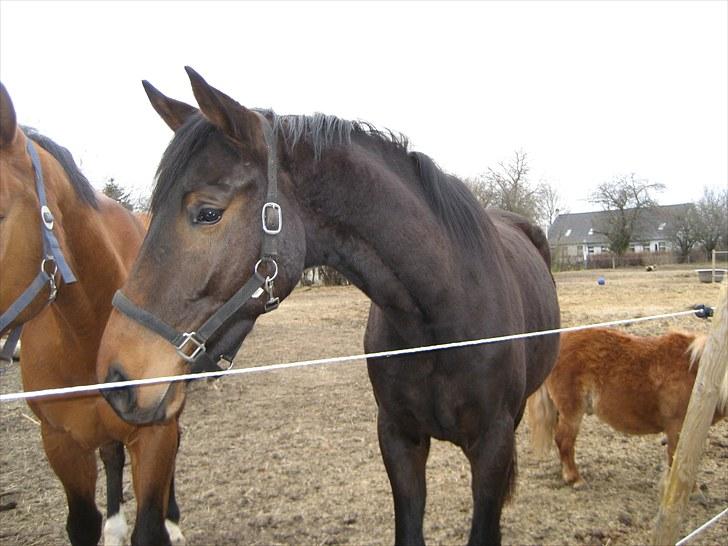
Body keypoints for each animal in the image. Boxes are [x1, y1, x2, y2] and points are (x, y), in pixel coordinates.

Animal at [0, 82, 185, 544]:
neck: (85, 331)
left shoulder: (154, 435)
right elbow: (82, 523)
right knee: (111, 455)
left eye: (0, 213)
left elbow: (150, 525)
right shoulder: (60, 442)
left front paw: (165, 523)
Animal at [528, 326, 724, 486]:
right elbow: (676, 460)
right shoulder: (678, 428)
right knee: (564, 439)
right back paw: (574, 478)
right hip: (572, 411)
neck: (700, 374)